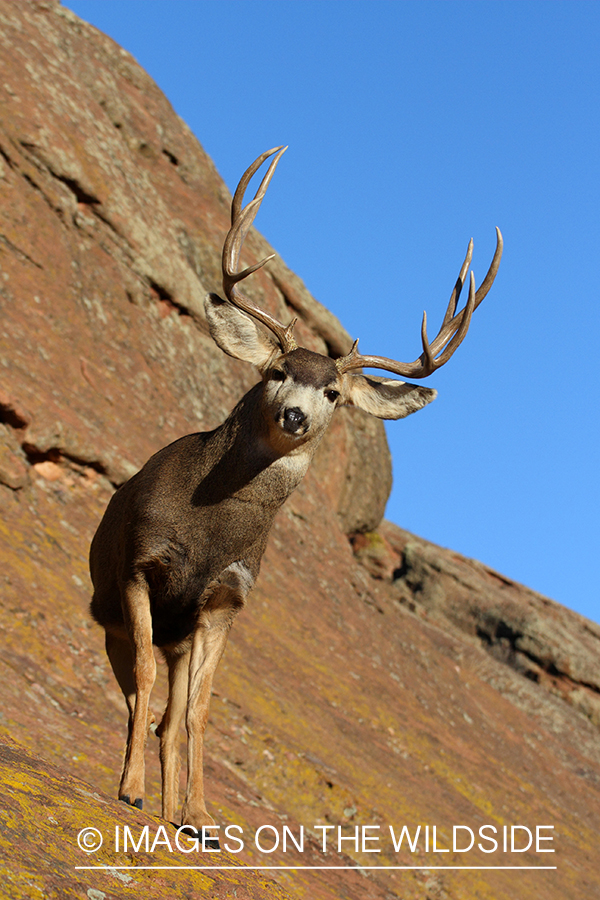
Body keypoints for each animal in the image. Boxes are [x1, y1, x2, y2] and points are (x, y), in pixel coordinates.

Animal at [89, 146, 502, 841]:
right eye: (277, 371)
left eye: (333, 392)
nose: (296, 416)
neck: (209, 534)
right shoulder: (141, 568)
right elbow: (143, 683)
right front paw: (131, 793)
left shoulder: (226, 600)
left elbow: (199, 710)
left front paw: (202, 815)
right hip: (108, 610)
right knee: (139, 696)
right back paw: (146, 795)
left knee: (171, 716)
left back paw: (178, 815)